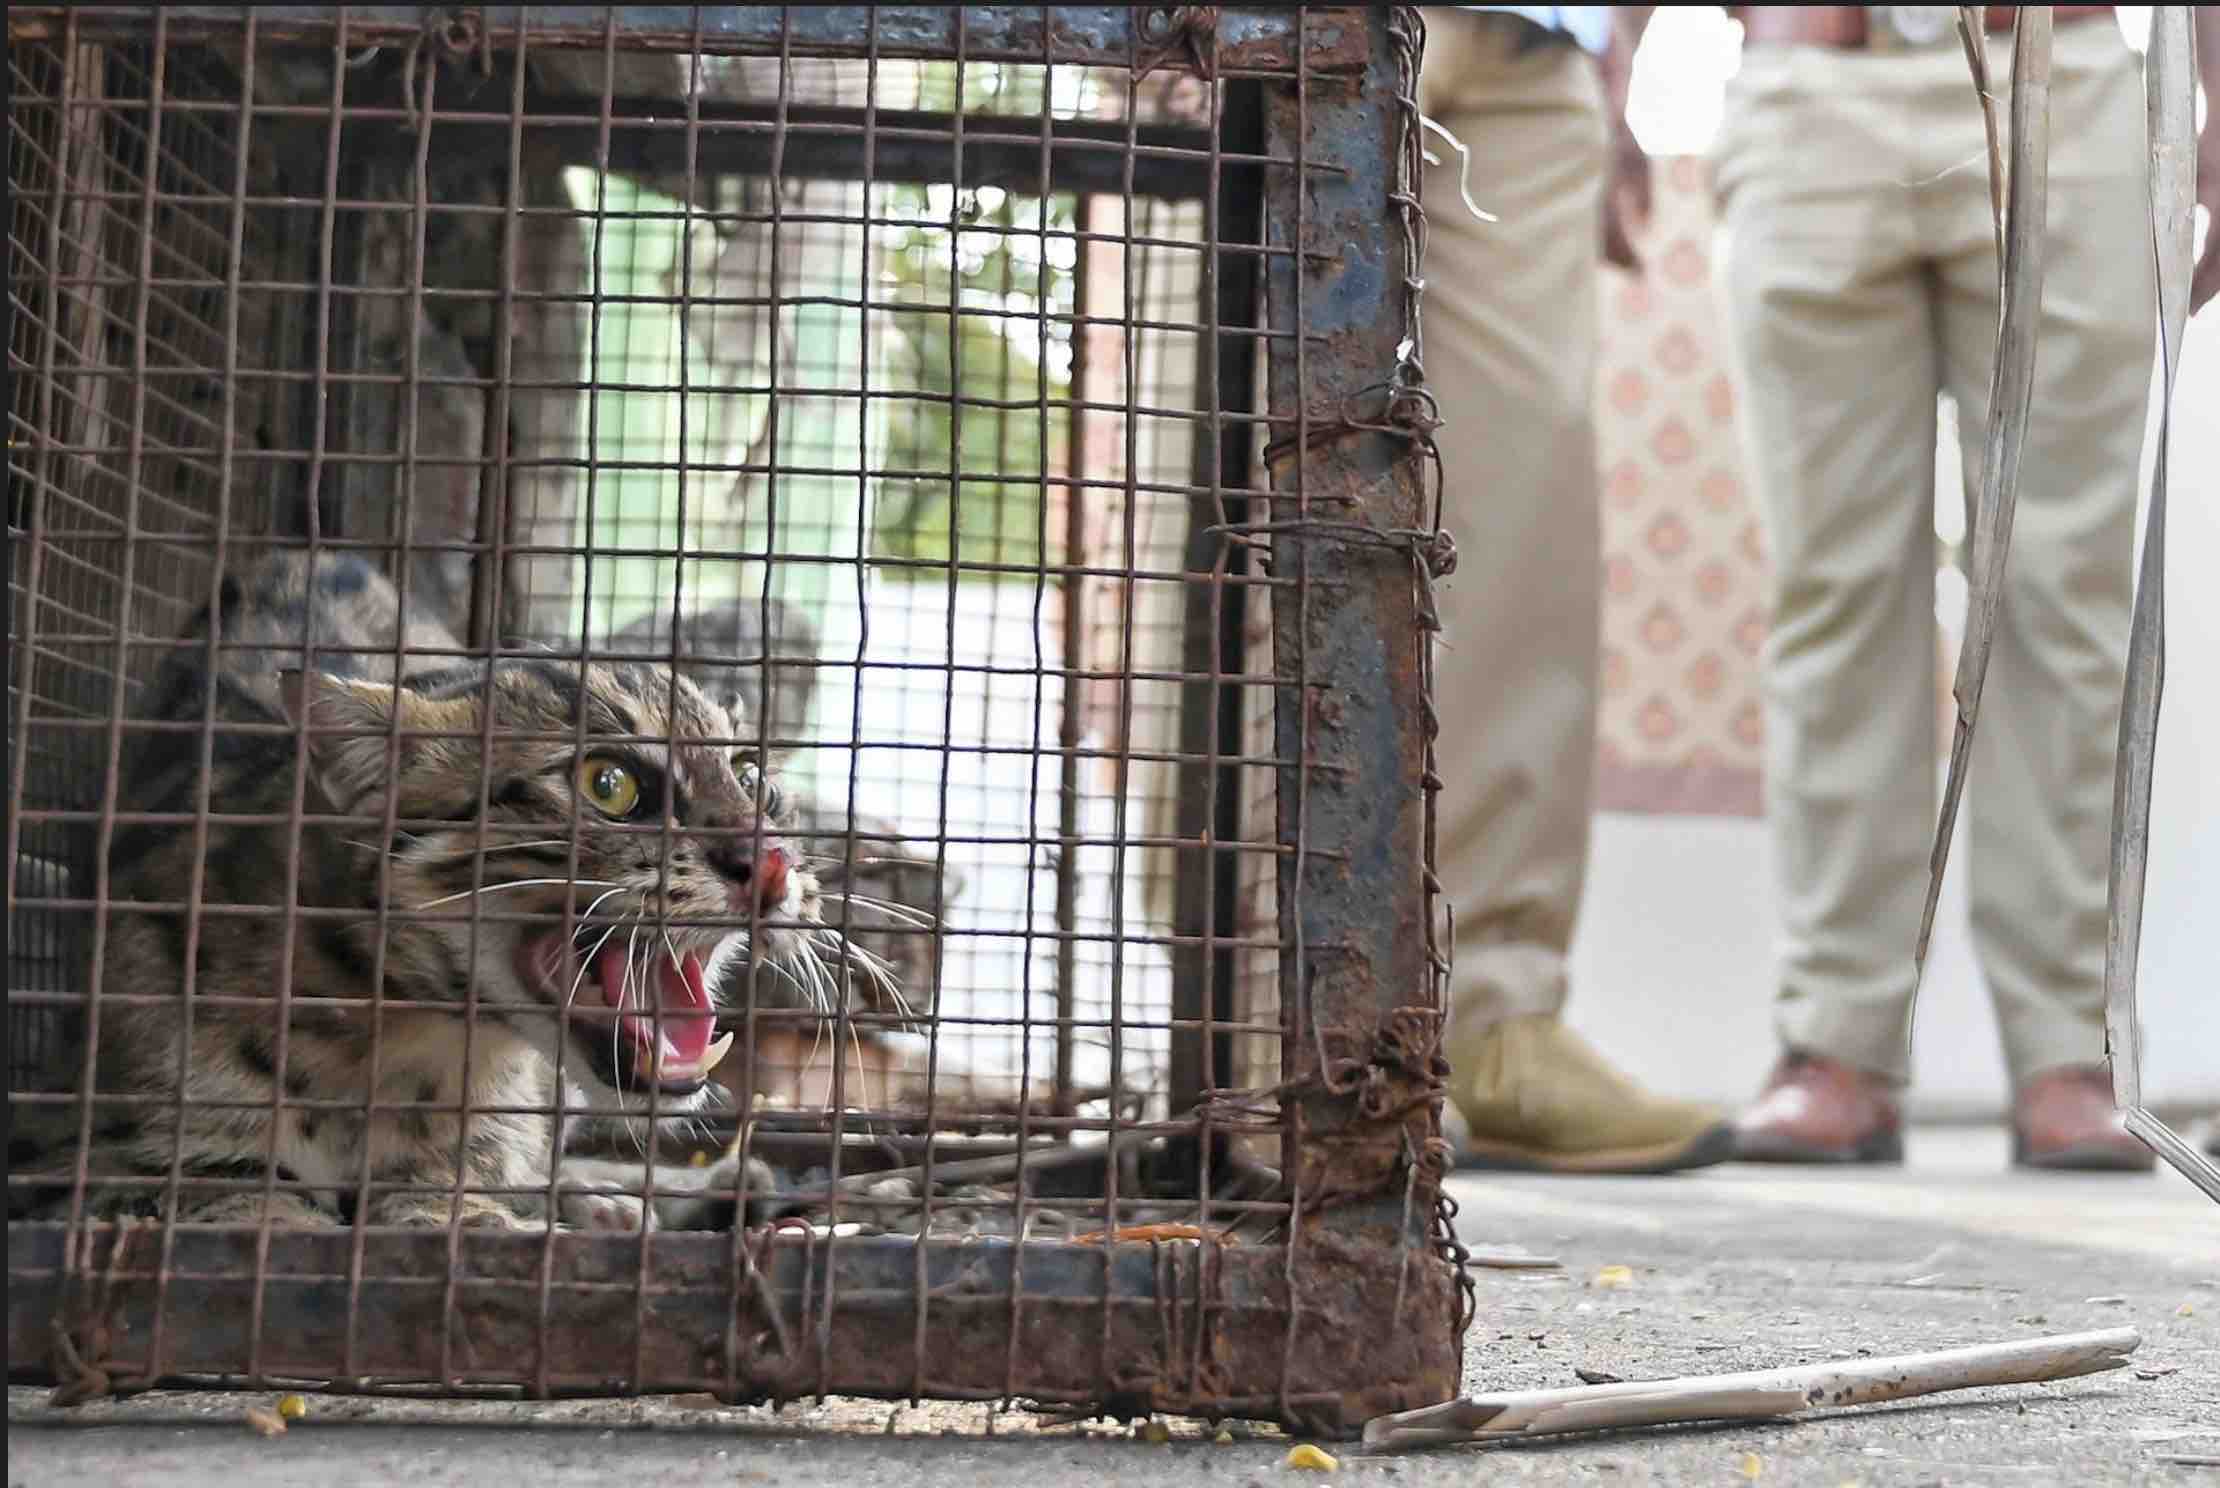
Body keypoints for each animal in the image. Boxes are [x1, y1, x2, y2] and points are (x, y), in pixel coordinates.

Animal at [15, 553, 901, 1225]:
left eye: (753, 780)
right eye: (608, 783)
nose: (774, 864)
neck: (386, 1039)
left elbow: (456, 1199)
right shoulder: (78, 1157)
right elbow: (234, 1198)